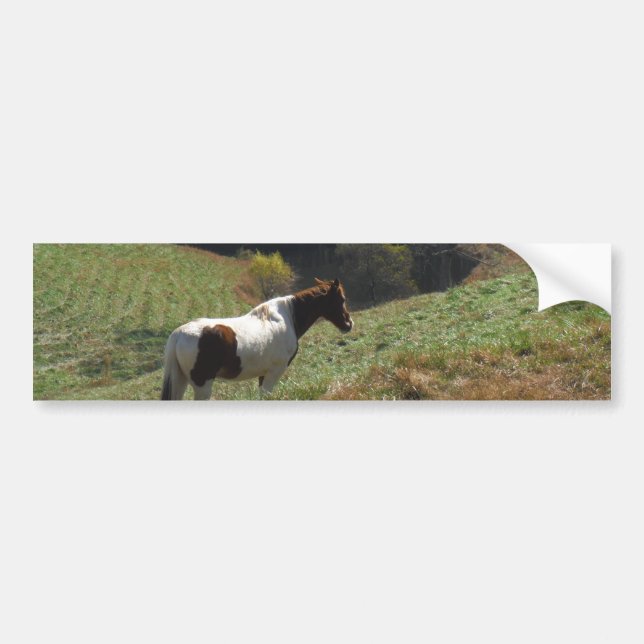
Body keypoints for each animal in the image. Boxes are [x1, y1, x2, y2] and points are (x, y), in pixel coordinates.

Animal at [161, 278, 354, 400]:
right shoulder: (274, 373)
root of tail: (179, 333)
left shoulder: (263, 374)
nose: (349, 324)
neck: (287, 317)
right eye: (342, 299)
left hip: (181, 381)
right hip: (203, 386)